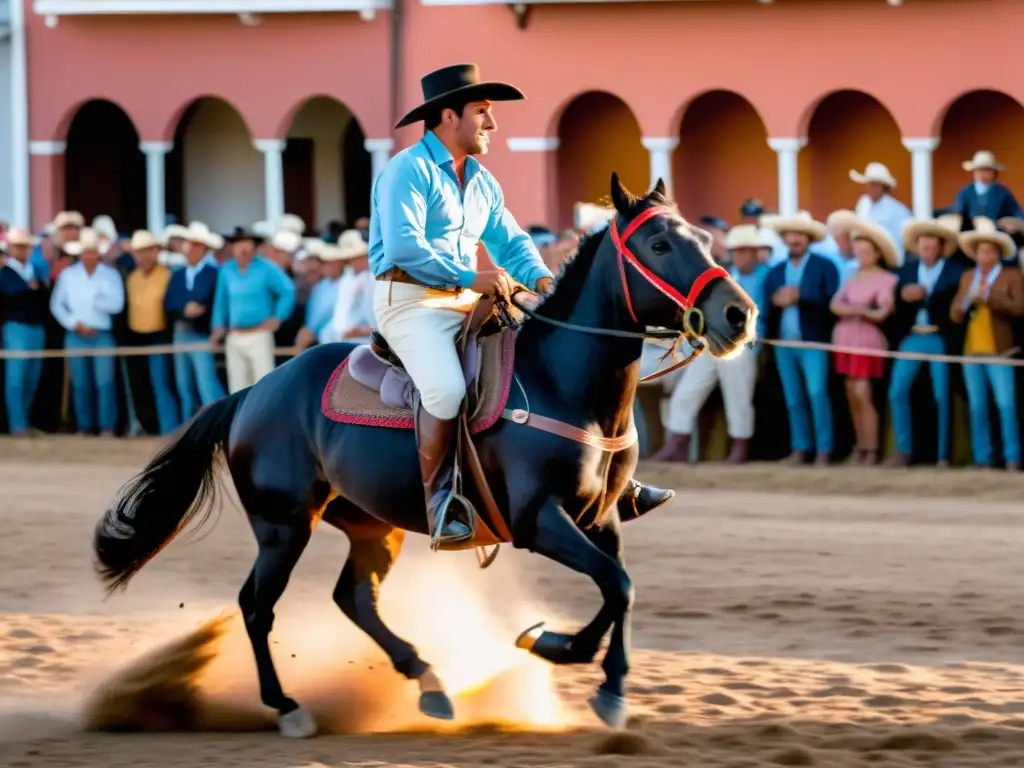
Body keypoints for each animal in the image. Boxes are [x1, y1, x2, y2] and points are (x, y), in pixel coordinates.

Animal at [92, 174, 757, 741]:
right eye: (659, 243)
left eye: (704, 240)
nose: (739, 314)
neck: (562, 381)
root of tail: (253, 392)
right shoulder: (539, 521)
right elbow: (616, 583)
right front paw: (571, 657)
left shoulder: (600, 516)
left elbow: (620, 587)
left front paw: (579, 662)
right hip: (284, 526)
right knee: (257, 607)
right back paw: (288, 707)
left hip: (370, 524)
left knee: (353, 598)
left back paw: (428, 681)